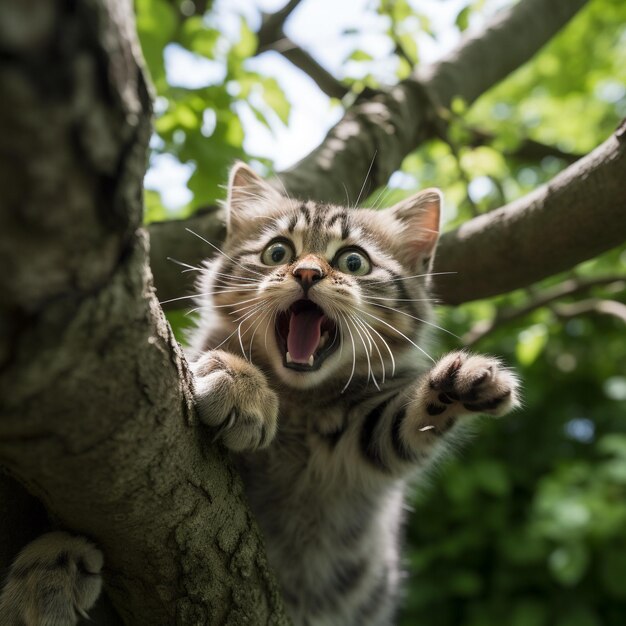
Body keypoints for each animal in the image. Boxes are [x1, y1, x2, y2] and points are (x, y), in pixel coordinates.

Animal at [0, 162, 516, 624]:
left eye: (353, 261)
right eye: (278, 252)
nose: (307, 273)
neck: (296, 401)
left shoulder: (360, 443)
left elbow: (403, 423)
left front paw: (460, 383)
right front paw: (242, 385)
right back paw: (50, 571)